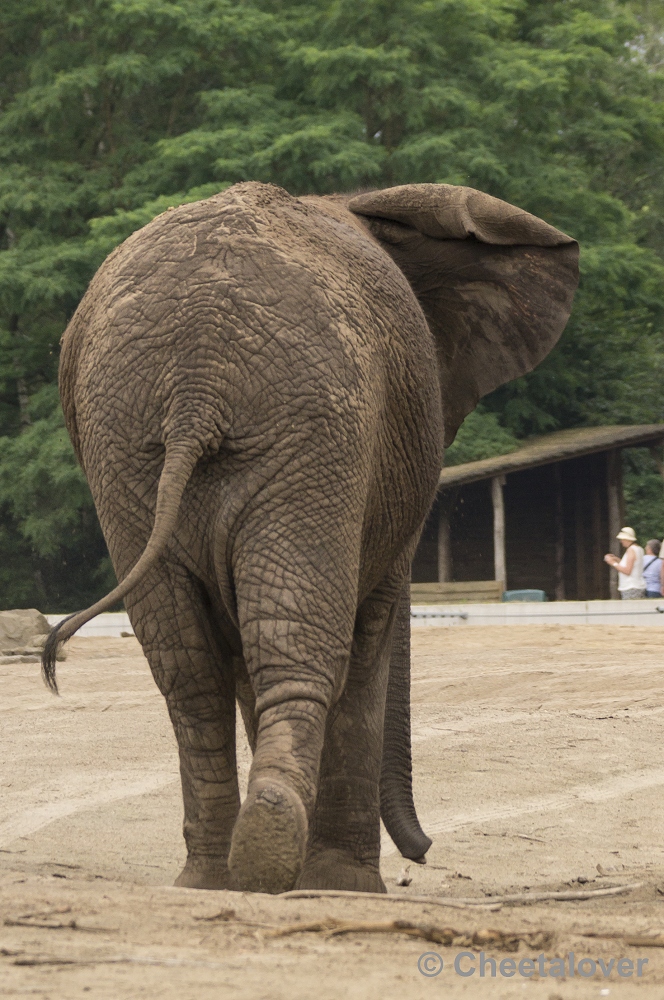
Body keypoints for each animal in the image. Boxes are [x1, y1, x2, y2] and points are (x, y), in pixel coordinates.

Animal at [42, 184, 576, 896]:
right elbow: (369, 631)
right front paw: (348, 885)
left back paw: (219, 874)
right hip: (312, 432)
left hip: (135, 449)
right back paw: (276, 857)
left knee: (193, 667)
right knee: (295, 643)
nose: (424, 853)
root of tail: (196, 383)